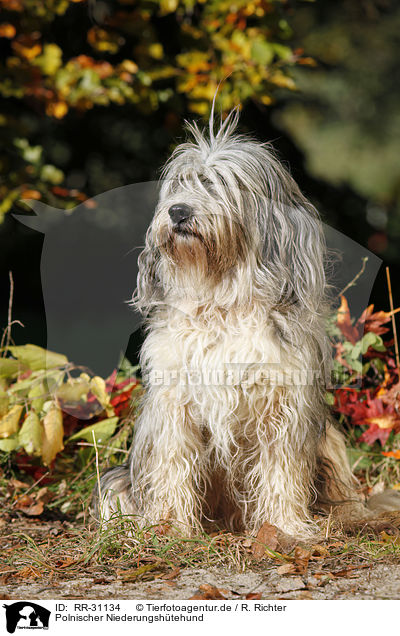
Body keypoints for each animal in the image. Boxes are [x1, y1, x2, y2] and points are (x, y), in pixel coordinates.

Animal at [94, 109, 396, 536]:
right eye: (180, 185)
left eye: (221, 184)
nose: (178, 212)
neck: (222, 302)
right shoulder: (173, 403)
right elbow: (172, 464)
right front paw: (170, 526)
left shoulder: (283, 404)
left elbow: (281, 470)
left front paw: (285, 527)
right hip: (117, 482)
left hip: (330, 442)